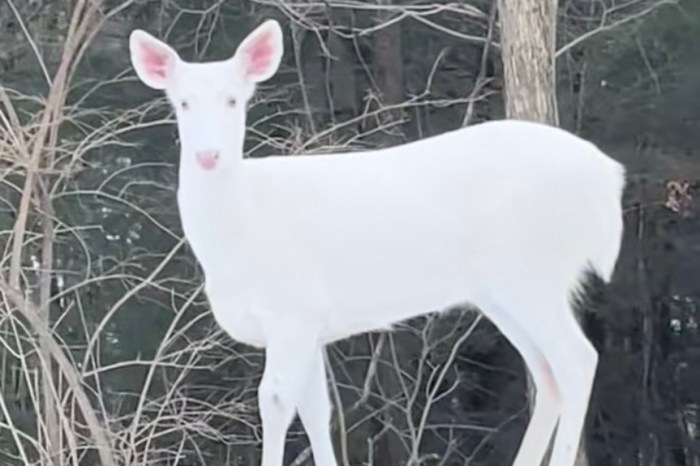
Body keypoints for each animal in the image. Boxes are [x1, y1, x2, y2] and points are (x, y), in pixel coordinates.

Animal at [129, 19, 625, 466]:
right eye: (182, 102)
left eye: (234, 99)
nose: (208, 155)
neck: (240, 231)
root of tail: (608, 178)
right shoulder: (310, 324)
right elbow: (317, 411)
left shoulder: (292, 310)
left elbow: (274, 402)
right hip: (504, 289)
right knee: (547, 374)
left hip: (529, 270)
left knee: (576, 360)